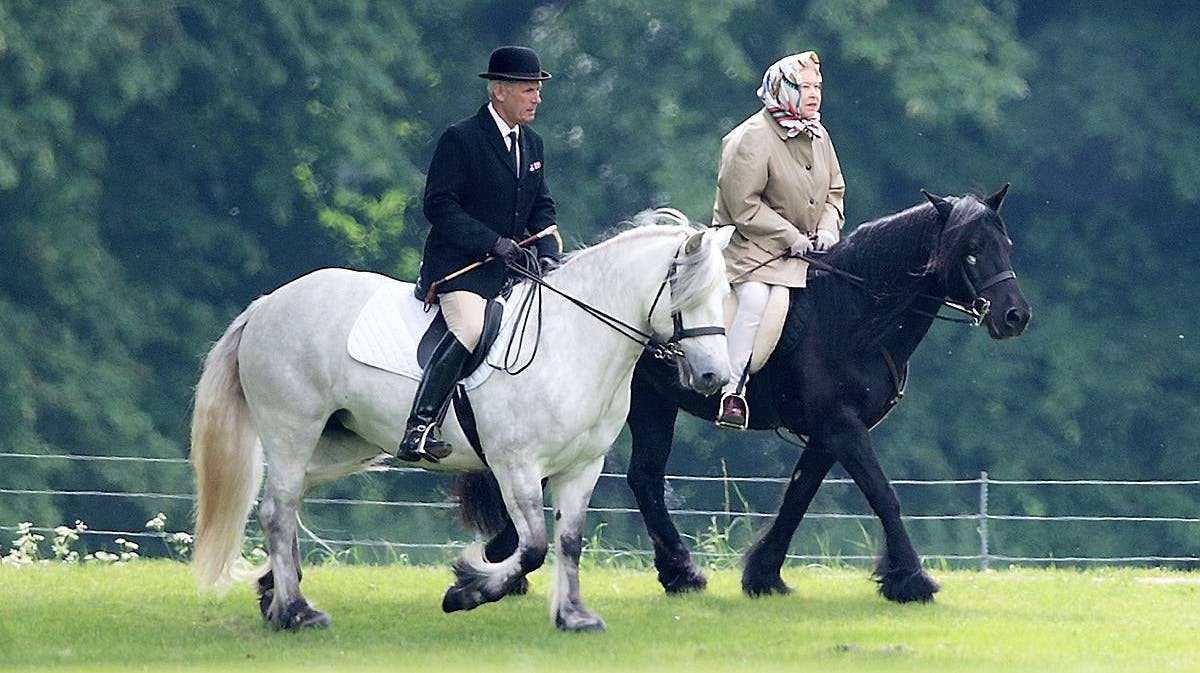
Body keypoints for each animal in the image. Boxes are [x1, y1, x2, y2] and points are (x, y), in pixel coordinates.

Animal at [188, 209, 729, 628]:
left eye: (724, 294)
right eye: (686, 297)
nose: (714, 377)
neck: (572, 338)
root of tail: (265, 306)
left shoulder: (582, 466)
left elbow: (569, 541)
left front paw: (574, 616)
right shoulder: (516, 465)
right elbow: (533, 546)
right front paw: (466, 588)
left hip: (340, 443)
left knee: (289, 502)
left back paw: (275, 597)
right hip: (292, 430)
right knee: (277, 512)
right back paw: (298, 612)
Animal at [453, 187, 1027, 604]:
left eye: (1005, 246)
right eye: (970, 251)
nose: (1014, 316)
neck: (853, 311)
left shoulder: (828, 432)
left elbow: (798, 496)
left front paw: (764, 576)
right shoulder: (842, 427)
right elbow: (884, 495)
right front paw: (911, 581)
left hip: (653, 406)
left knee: (644, 479)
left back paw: (676, 573)